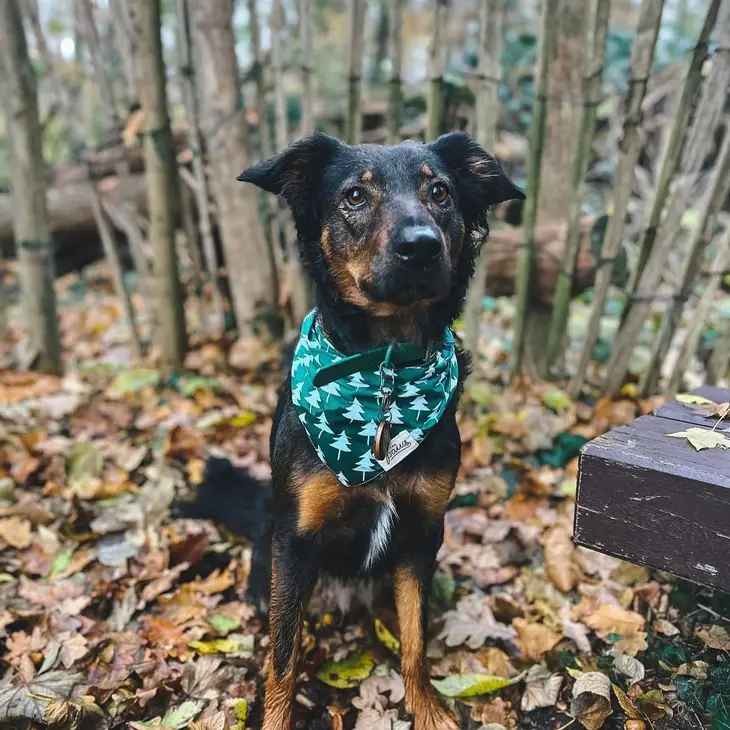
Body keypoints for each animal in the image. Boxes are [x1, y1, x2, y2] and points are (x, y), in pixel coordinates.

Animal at [236, 132, 520, 728]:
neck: (385, 373)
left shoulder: (422, 533)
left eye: (439, 192)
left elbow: (415, 641)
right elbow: (282, 657)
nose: (422, 246)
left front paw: (427, 709)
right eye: (354, 196)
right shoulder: (295, 541)